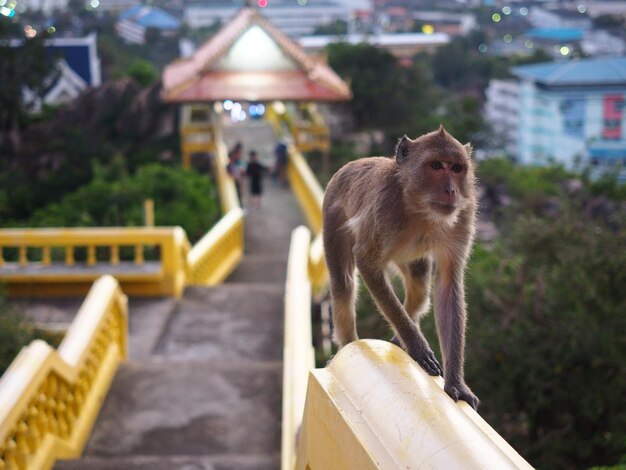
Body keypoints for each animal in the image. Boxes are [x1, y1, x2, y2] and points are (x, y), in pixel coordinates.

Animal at [322, 126, 478, 410]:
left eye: (457, 168)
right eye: (436, 166)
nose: (451, 190)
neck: (419, 207)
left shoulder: (464, 213)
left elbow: (448, 284)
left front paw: (456, 383)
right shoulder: (384, 206)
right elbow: (366, 261)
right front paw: (417, 347)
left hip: (409, 258)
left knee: (419, 286)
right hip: (332, 214)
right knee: (343, 283)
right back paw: (349, 344)